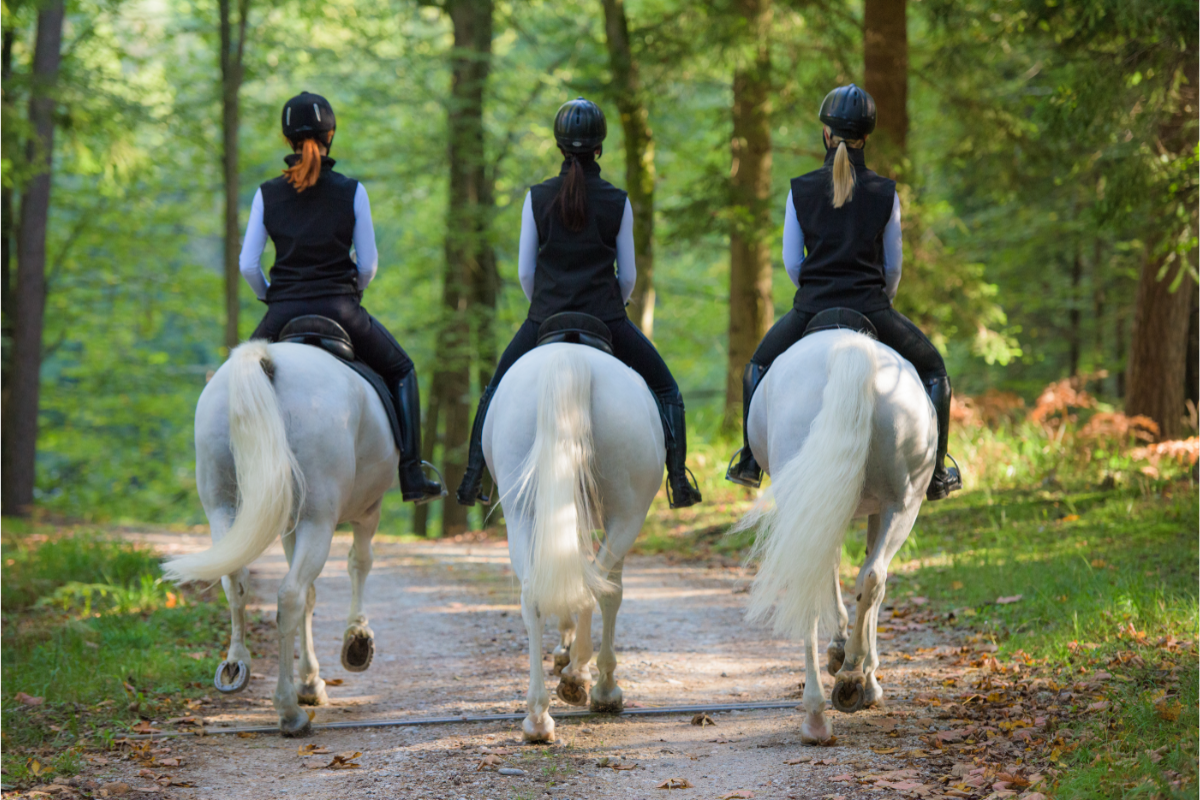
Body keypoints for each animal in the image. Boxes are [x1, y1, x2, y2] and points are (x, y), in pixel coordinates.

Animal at [163, 340, 399, 736]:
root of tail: (268, 358)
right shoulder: (369, 511)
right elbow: (359, 563)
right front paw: (356, 640)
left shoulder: (291, 523)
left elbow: (313, 594)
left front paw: (311, 680)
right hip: (318, 518)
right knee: (289, 595)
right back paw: (289, 711)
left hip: (223, 507)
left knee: (236, 581)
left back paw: (236, 666)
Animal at [484, 343, 665, 743]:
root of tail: (568, 354)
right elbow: (606, 590)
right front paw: (594, 680)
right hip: (629, 513)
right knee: (600, 589)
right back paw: (588, 681)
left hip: (521, 512)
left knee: (534, 595)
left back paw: (538, 716)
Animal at [733, 328, 936, 745]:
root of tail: (851, 349)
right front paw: (859, 666)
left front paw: (848, 656)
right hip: (902, 505)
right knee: (871, 578)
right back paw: (849, 680)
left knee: (833, 578)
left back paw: (819, 709)